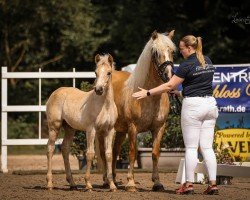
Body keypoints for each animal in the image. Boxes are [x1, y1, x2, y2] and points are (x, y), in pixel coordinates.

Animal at [46, 54, 118, 191]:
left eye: (109, 72)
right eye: (95, 72)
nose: (98, 90)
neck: (104, 105)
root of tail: (55, 92)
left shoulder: (109, 130)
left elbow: (109, 155)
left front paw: (112, 185)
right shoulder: (91, 129)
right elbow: (90, 154)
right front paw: (88, 184)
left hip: (69, 128)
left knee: (64, 148)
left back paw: (72, 183)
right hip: (54, 127)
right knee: (50, 149)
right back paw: (49, 183)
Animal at [111, 30, 176, 191]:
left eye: (172, 51)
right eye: (156, 52)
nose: (168, 75)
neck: (149, 96)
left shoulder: (159, 128)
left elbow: (155, 153)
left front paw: (157, 183)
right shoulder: (133, 128)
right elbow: (132, 153)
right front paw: (130, 183)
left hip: (120, 130)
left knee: (115, 151)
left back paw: (113, 179)